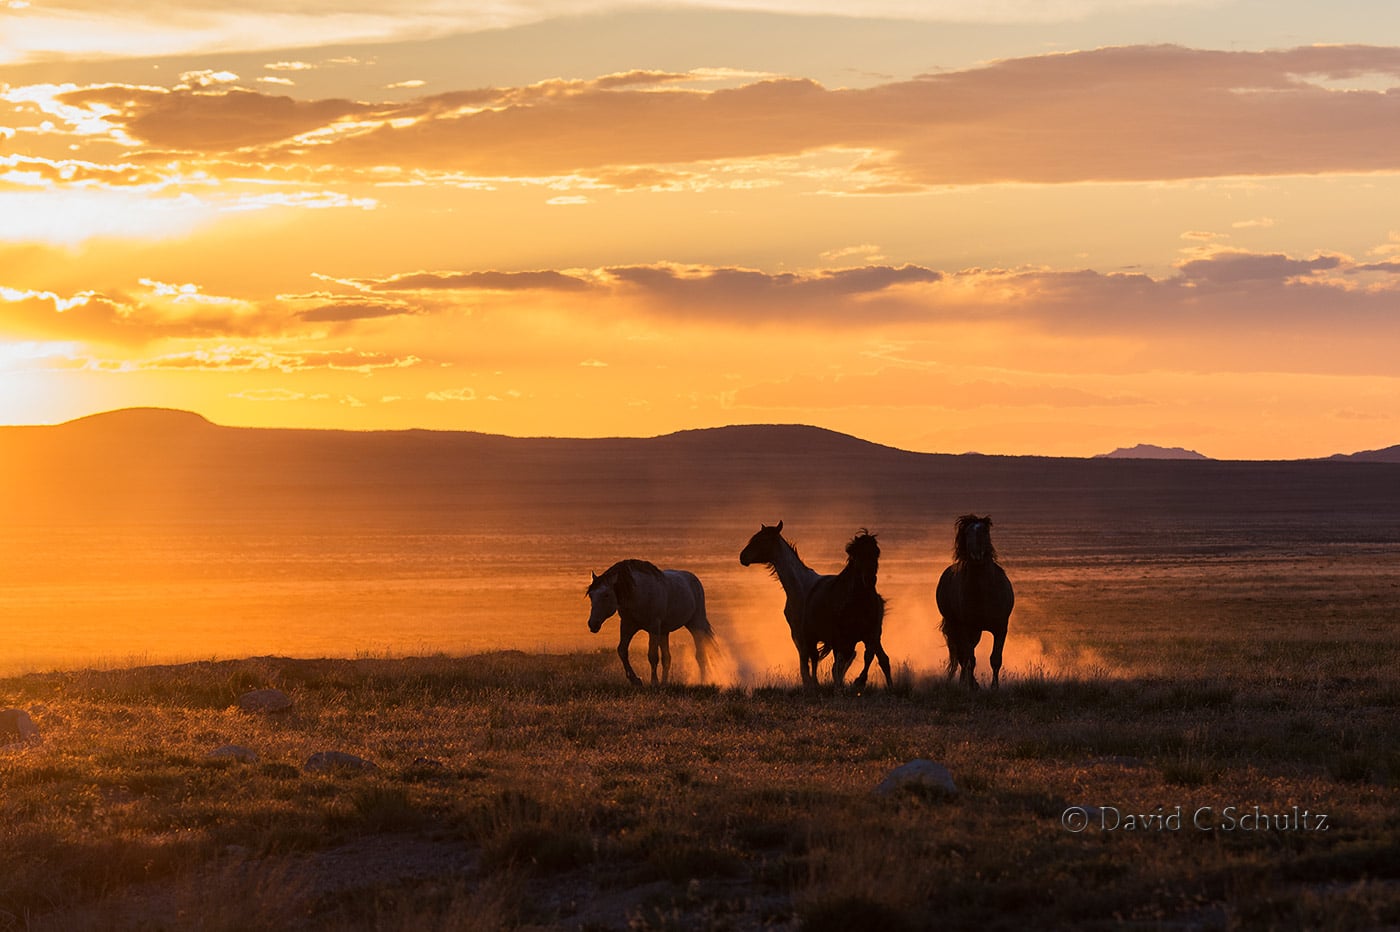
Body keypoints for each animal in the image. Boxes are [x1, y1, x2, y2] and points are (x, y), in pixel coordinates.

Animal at [585, 559, 716, 682]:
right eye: (591, 595)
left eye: (606, 595)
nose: (592, 623)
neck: (638, 594)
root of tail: (694, 580)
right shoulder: (628, 625)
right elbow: (622, 650)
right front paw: (635, 679)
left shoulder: (653, 628)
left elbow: (652, 656)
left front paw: (654, 682)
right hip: (664, 632)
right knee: (667, 658)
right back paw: (664, 682)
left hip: (696, 624)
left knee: (700, 655)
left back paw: (703, 680)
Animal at [739, 523, 823, 682]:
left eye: (763, 539)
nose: (742, 556)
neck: (801, 587)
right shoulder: (797, 635)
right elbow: (806, 665)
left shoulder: (806, 635)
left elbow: (809, 663)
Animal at [800, 528, 884, 688]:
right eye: (857, 554)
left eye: (876, 552)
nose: (870, 579)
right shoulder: (840, 638)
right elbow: (839, 664)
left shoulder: (870, 634)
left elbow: (868, 655)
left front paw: (860, 681)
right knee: (821, 660)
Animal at [935, 512, 1013, 685]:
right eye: (967, 532)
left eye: (985, 531)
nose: (977, 555)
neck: (984, 593)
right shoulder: (967, 628)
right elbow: (970, 659)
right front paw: (973, 686)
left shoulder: (1000, 628)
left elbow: (995, 659)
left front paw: (994, 687)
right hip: (958, 627)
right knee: (962, 657)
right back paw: (967, 683)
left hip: (976, 632)